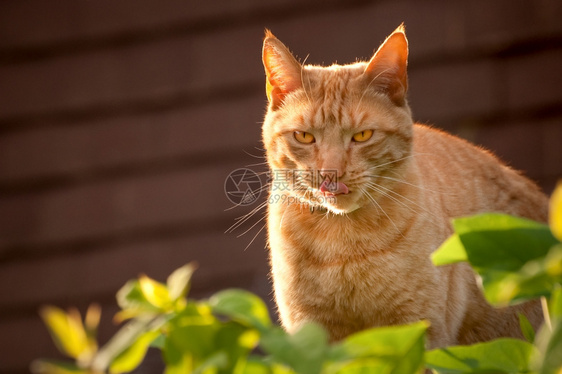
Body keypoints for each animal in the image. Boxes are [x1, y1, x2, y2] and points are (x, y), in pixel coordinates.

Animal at [260, 25, 544, 348]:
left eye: (362, 136)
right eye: (305, 137)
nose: (330, 175)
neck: (342, 245)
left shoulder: (417, 331)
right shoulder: (313, 338)